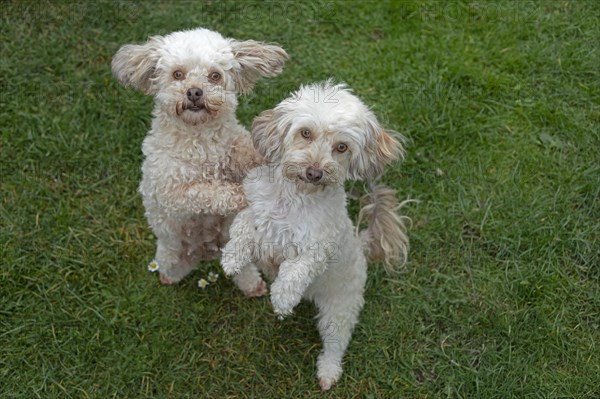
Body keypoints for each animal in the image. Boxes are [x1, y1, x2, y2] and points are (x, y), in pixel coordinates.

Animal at [114, 28, 288, 284]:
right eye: (178, 74)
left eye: (214, 75)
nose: (194, 91)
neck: (200, 138)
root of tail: (207, 251)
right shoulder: (172, 191)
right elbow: (208, 192)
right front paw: (240, 195)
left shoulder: (235, 146)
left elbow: (247, 153)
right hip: (170, 255)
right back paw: (167, 278)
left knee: (243, 271)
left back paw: (253, 286)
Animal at [223, 81, 410, 390]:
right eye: (305, 132)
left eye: (341, 147)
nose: (314, 172)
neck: (296, 198)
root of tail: (362, 248)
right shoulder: (256, 211)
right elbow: (242, 226)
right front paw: (231, 258)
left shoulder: (318, 246)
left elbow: (296, 269)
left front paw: (283, 299)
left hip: (339, 310)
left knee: (335, 344)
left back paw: (328, 372)